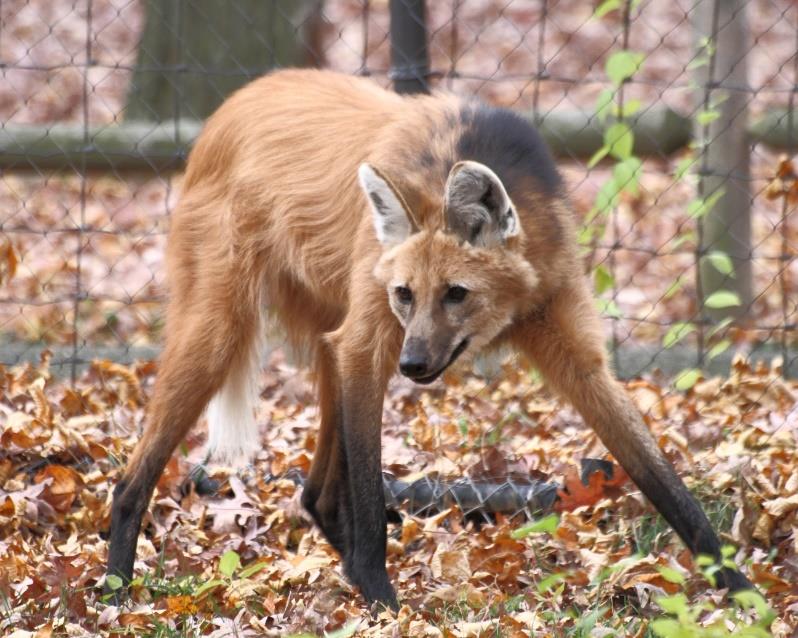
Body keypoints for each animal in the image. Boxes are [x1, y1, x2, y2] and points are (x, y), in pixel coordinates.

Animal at [108, 69, 756, 608]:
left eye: (456, 293)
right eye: (405, 294)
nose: (415, 365)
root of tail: (229, 107)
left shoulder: (572, 348)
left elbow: (662, 479)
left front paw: (743, 591)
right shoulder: (373, 342)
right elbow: (370, 492)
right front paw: (382, 602)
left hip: (327, 337)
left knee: (315, 492)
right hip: (225, 332)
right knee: (132, 478)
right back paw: (116, 590)